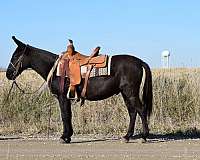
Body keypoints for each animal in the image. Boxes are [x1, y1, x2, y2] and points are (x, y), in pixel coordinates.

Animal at [6, 36, 153, 144]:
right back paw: (127, 136)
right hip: (125, 93)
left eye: (15, 56)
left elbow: (65, 116)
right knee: (133, 112)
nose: (8, 74)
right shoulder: (67, 98)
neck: (55, 68)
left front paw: (64, 137)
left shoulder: (62, 97)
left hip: (130, 93)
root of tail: (140, 62)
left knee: (141, 110)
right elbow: (68, 115)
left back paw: (144, 136)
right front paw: (68, 136)